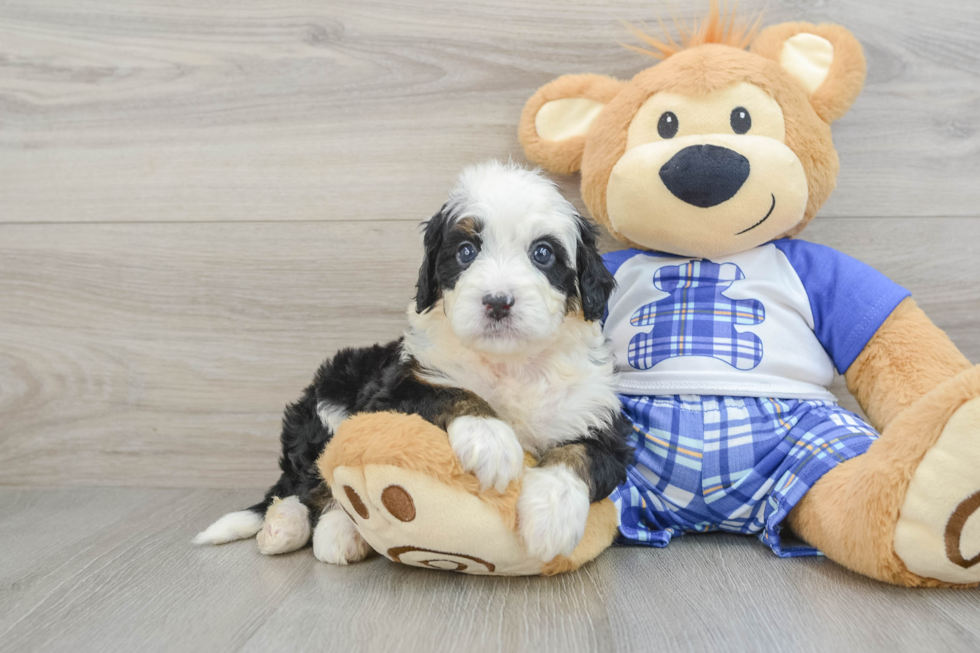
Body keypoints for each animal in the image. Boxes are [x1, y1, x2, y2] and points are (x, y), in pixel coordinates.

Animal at [195, 160, 632, 564]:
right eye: (466, 252)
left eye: (542, 253)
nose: (497, 302)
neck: (509, 363)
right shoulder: (395, 389)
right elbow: (453, 393)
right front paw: (491, 440)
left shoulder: (601, 419)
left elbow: (579, 456)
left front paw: (551, 516)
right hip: (327, 402)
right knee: (308, 482)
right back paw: (295, 527)